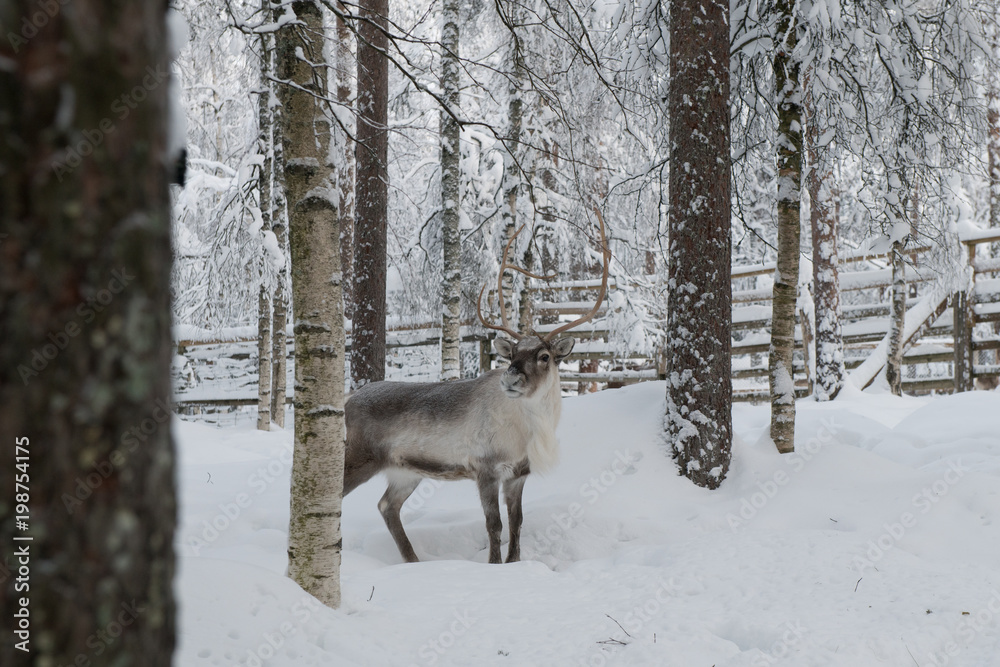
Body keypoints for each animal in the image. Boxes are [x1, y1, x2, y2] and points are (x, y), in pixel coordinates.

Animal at [343, 212, 610, 564]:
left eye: (544, 356)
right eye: (511, 354)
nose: (510, 378)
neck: (531, 431)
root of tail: (347, 400)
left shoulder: (518, 474)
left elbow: (517, 522)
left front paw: (514, 563)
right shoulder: (486, 468)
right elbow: (494, 524)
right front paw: (494, 566)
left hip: (404, 471)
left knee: (387, 505)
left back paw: (413, 562)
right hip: (358, 456)